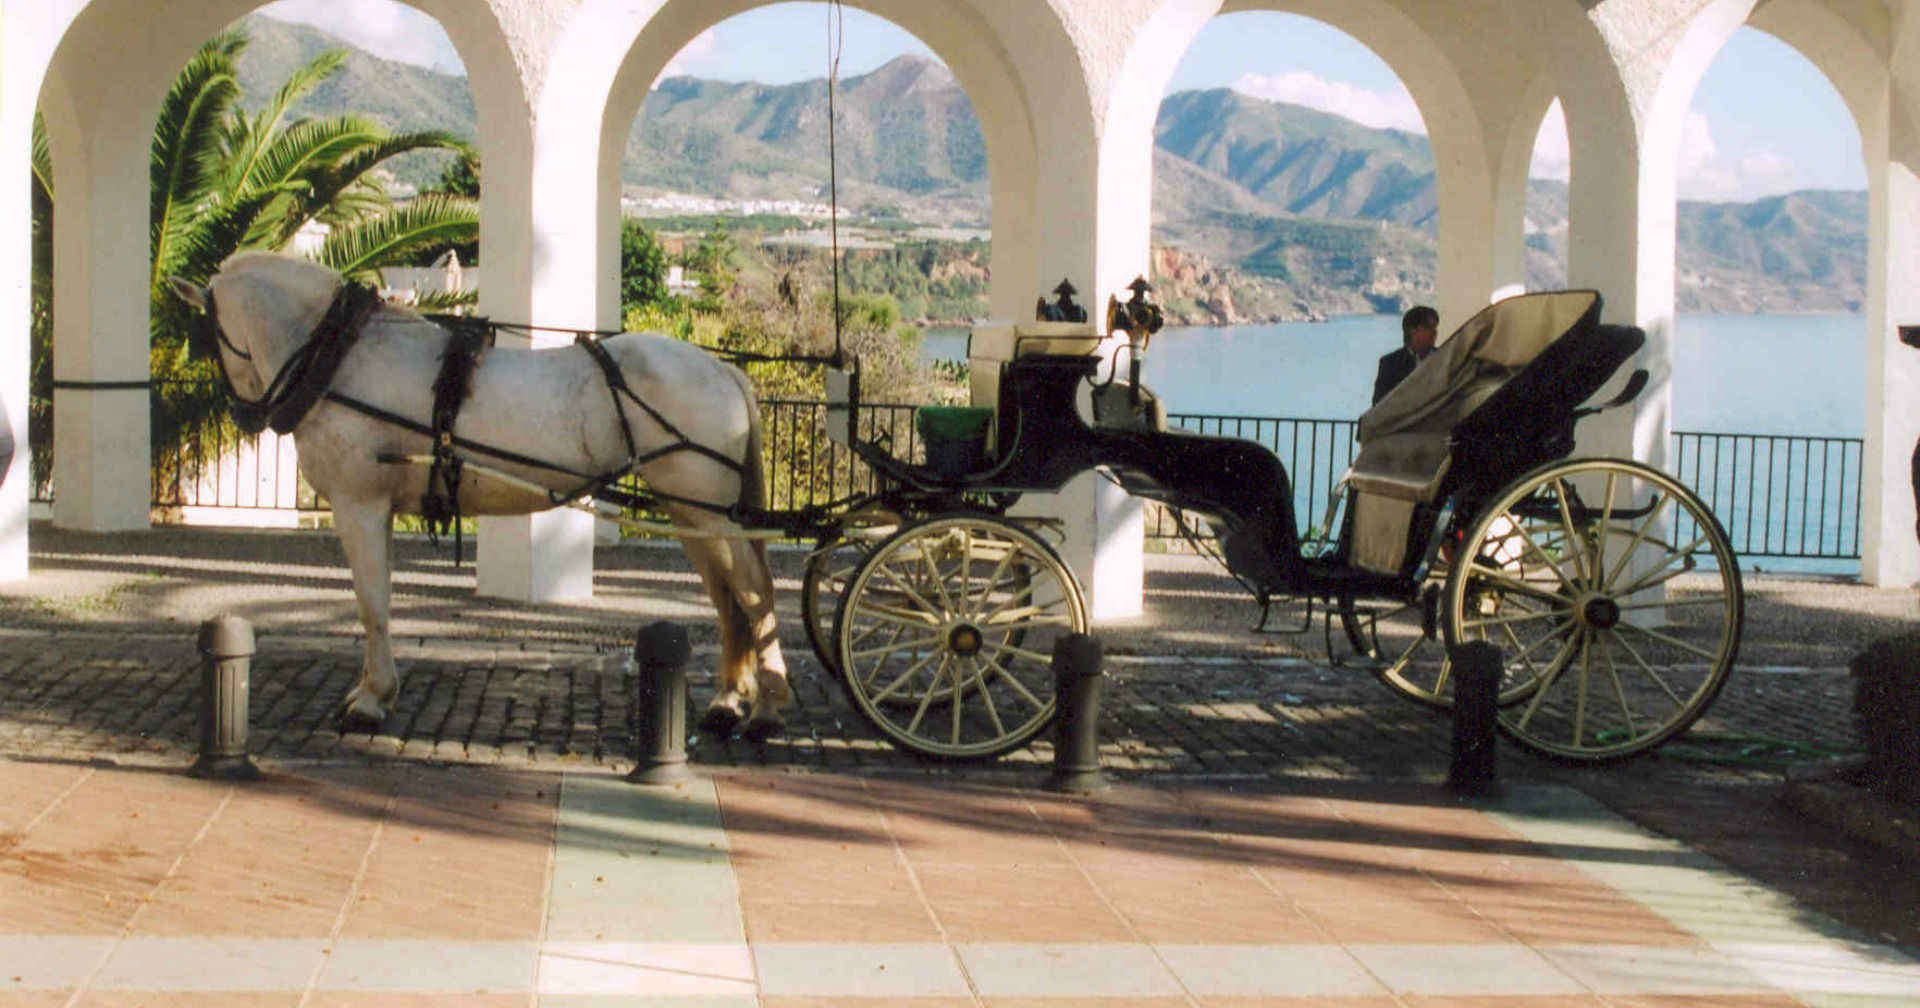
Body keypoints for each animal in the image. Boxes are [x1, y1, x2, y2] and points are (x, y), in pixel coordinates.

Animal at [167, 251, 794, 733]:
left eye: (207, 336)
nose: (246, 415)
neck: (343, 358)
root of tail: (722, 371)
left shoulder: (358, 505)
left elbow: (371, 602)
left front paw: (371, 698)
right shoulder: (379, 508)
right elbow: (381, 599)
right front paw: (376, 689)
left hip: (707, 509)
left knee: (754, 592)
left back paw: (769, 704)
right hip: (693, 511)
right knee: (727, 598)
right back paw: (729, 699)